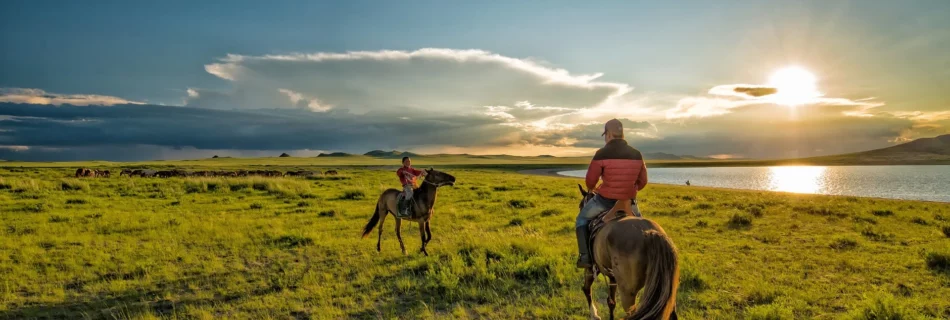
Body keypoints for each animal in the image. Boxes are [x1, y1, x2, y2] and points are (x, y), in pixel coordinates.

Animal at [576, 185, 680, 320]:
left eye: (580, 205)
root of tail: (650, 233)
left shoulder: (592, 267)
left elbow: (587, 289)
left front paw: (594, 314)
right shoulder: (612, 277)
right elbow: (611, 302)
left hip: (627, 293)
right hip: (666, 290)